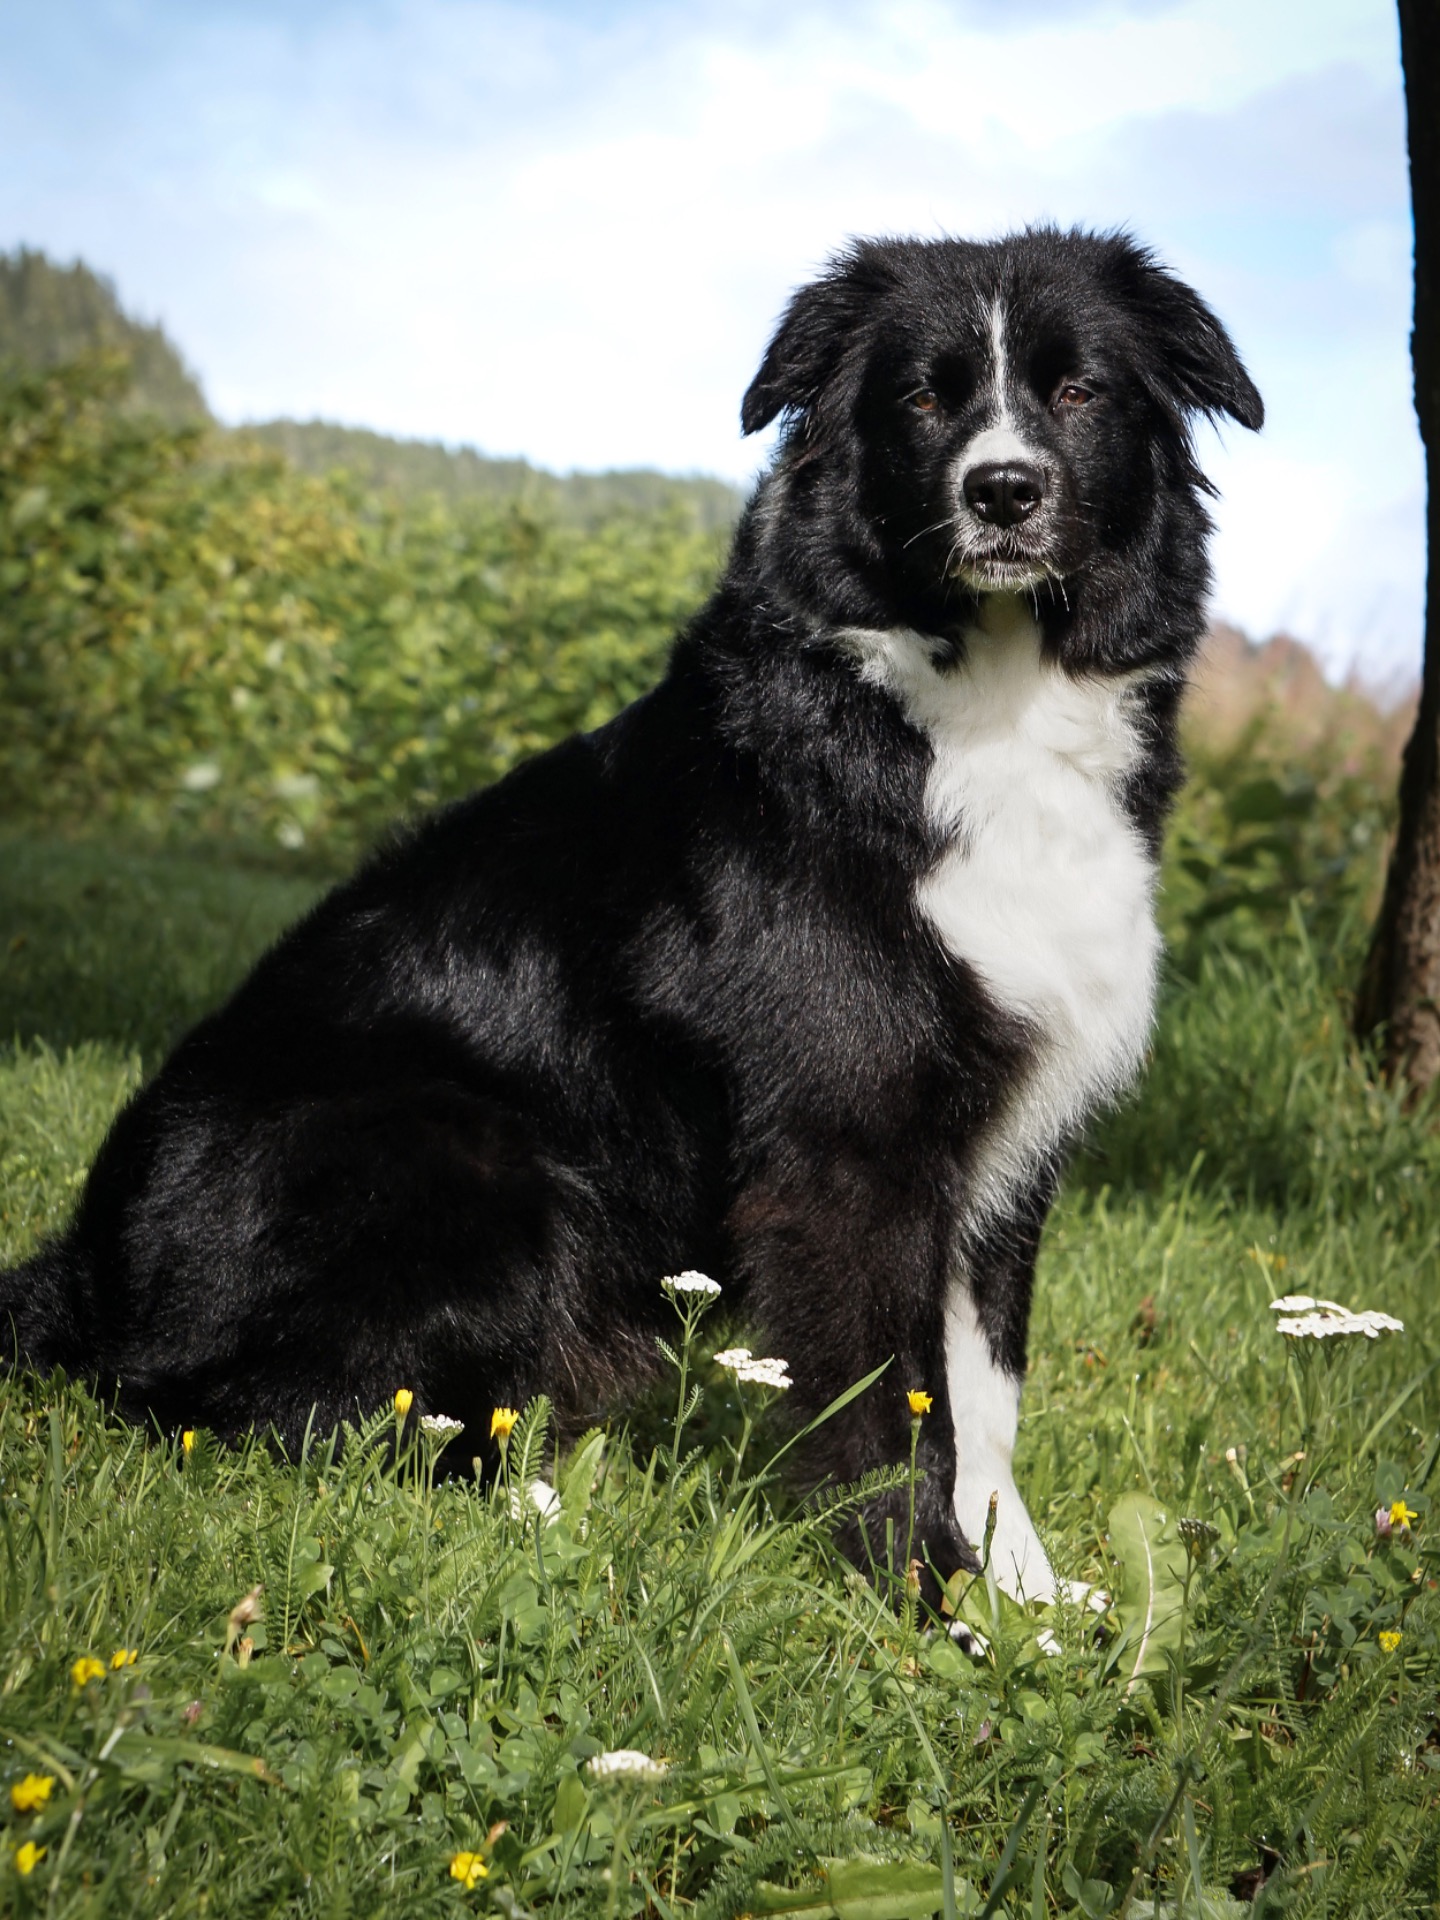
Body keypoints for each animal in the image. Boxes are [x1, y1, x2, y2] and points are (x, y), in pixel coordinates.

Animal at [1, 228, 1260, 1608]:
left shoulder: (1009, 1144)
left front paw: (1029, 1598)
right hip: (471, 1153)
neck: (976, 703)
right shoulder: (849, 1140)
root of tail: (84, 1271)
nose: (1003, 493)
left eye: (1077, 391)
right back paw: (539, 1514)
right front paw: (925, 1606)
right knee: (256, 1408)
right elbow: (893, 1406)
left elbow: (984, 1400)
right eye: (923, 401)